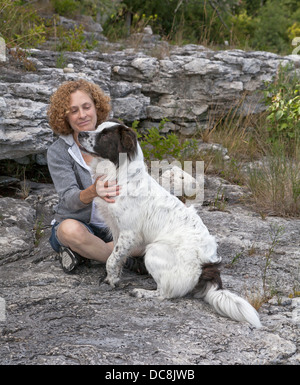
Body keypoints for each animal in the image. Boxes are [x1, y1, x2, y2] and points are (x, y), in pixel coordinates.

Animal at [78, 120, 262, 328]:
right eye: (97, 128)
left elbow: (111, 258)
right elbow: (116, 258)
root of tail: (207, 265)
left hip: (153, 250)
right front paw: (113, 278)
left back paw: (142, 292)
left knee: (165, 294)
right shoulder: (117, 230)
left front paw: (112, 280)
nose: (80, 134)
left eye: (105, 134)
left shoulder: (129, 232)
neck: (121, 176)